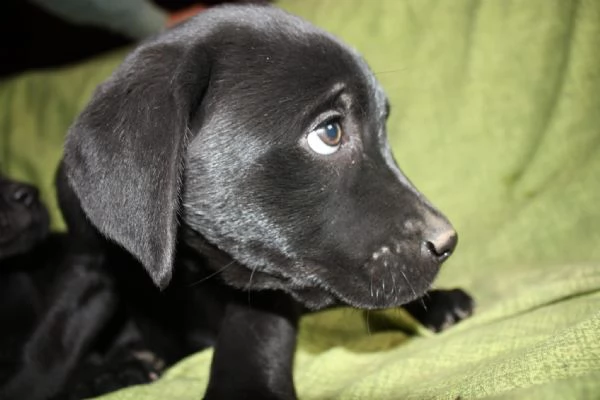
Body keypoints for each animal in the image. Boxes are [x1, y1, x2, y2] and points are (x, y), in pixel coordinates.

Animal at [3, 4, 474, 398]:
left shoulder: (267, 275)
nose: (447, 242)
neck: (190, 254)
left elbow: (252, 333)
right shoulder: (90, 265)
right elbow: (50, 345)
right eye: (330, 132)